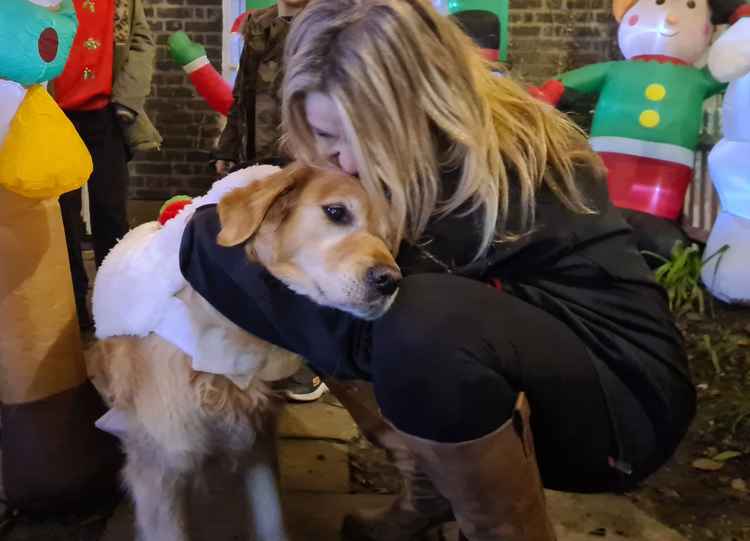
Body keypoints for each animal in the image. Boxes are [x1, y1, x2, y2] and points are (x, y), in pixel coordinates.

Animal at [87, 166, 402, 540]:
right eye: (336, 212)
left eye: (388, 237)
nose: (390, 281)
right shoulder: (160, 473)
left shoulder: (258, 443)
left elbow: (272, 522)